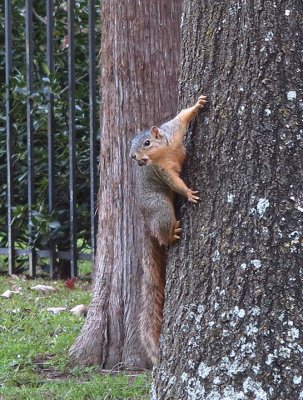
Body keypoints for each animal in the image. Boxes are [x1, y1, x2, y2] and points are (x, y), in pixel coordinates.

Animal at [129, 95, 208, 364]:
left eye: (147, 142)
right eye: (131, 151)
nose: (136, 159)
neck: (164, 152)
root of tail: (144, 219)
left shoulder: (173, 132)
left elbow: (182, 117)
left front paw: (198, 104)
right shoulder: (162, 172)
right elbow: (176, 183)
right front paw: (188, 193)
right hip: (160, 209)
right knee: (162, 234)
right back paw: (171, 235)